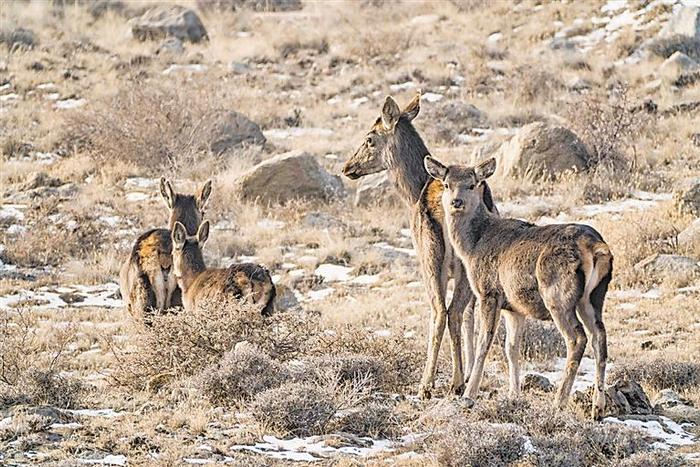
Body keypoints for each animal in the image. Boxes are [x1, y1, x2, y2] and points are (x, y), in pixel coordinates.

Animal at [340, 93, 498, 400]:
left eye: (369, 138)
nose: (347, 167)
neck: (413, 193)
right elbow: (471, 314)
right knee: (455, 311)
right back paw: (455, 381)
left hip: (430, 259)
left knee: (442, 311)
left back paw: (433, 384)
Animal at [422, 156, 612, 420]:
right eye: (447, 184)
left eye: (472, 184)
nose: (456, 202)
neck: (473, 245)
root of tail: (596, 247)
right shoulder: (514, 308)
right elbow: (511, 348)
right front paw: (514, 395)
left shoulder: (489, 291)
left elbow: (485, 342)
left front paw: (469, 396)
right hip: (594, 297)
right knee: (600, 338)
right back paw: (597, 408)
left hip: (557, 294)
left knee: (577, 338)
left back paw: (559, 403)